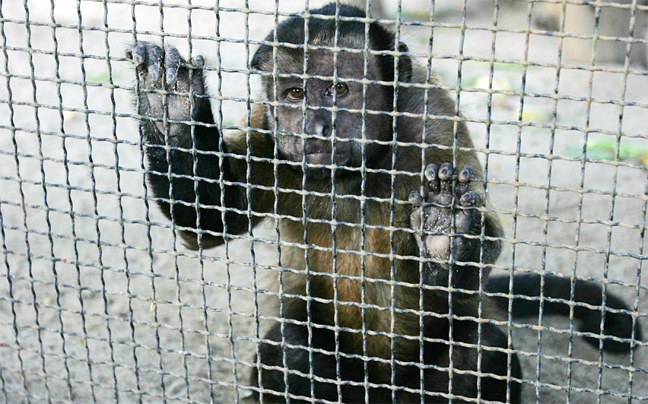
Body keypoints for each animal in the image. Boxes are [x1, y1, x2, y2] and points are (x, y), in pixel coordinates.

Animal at [125, 3, 636, 404]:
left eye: (337, 89)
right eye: (295, 92)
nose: (313, 126)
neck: (359, 169)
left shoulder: (432, 119)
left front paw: (446, 232)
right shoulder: (268, 128)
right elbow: (214, 217)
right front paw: (171, 108)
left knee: (477, 353)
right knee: (292, 351)